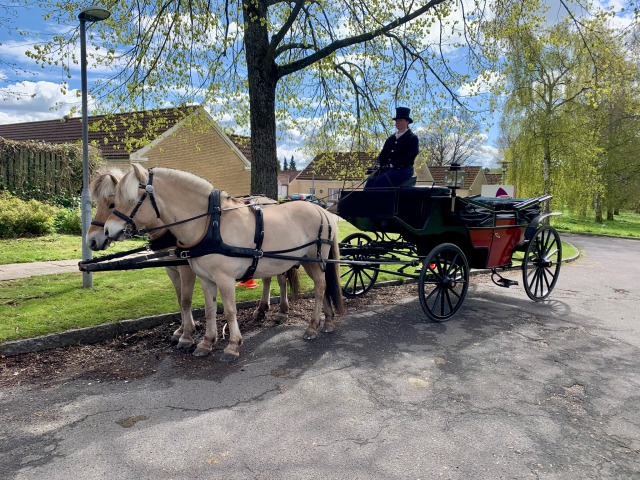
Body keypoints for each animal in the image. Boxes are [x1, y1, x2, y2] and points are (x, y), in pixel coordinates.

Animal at [104, 164, 344, 360]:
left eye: (130, 199)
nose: (107, 230)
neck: (210, 224)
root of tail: (322, 210)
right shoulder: (206, 278)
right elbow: (210, 309)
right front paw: (206, 342)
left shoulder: (225, 278)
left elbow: (229, 310)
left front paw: (232, 345)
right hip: (309, 261)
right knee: (322, 287)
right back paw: (328, 322)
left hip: (315, 259)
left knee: (320, 287)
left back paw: (312, 327)